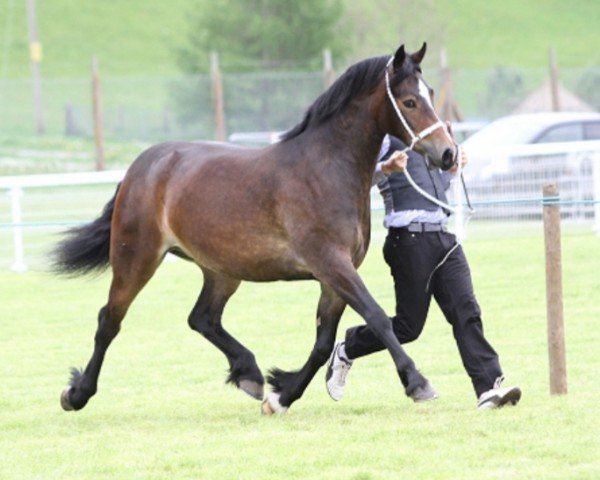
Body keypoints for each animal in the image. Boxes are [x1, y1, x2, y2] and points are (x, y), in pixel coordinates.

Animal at [55, 43, 454, 414]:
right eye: (409, 101)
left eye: (432, 92)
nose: (448, 153)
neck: (324, 169)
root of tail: (140, 168)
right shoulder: (332, 265)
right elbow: (377, 317)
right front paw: (418, 382)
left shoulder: (335, 276)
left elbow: (323, 343)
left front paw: (282, 396)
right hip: (136, 258)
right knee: (110, 320)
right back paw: (77, 394)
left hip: (221, 270)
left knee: (202, 318)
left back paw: (249, 373)